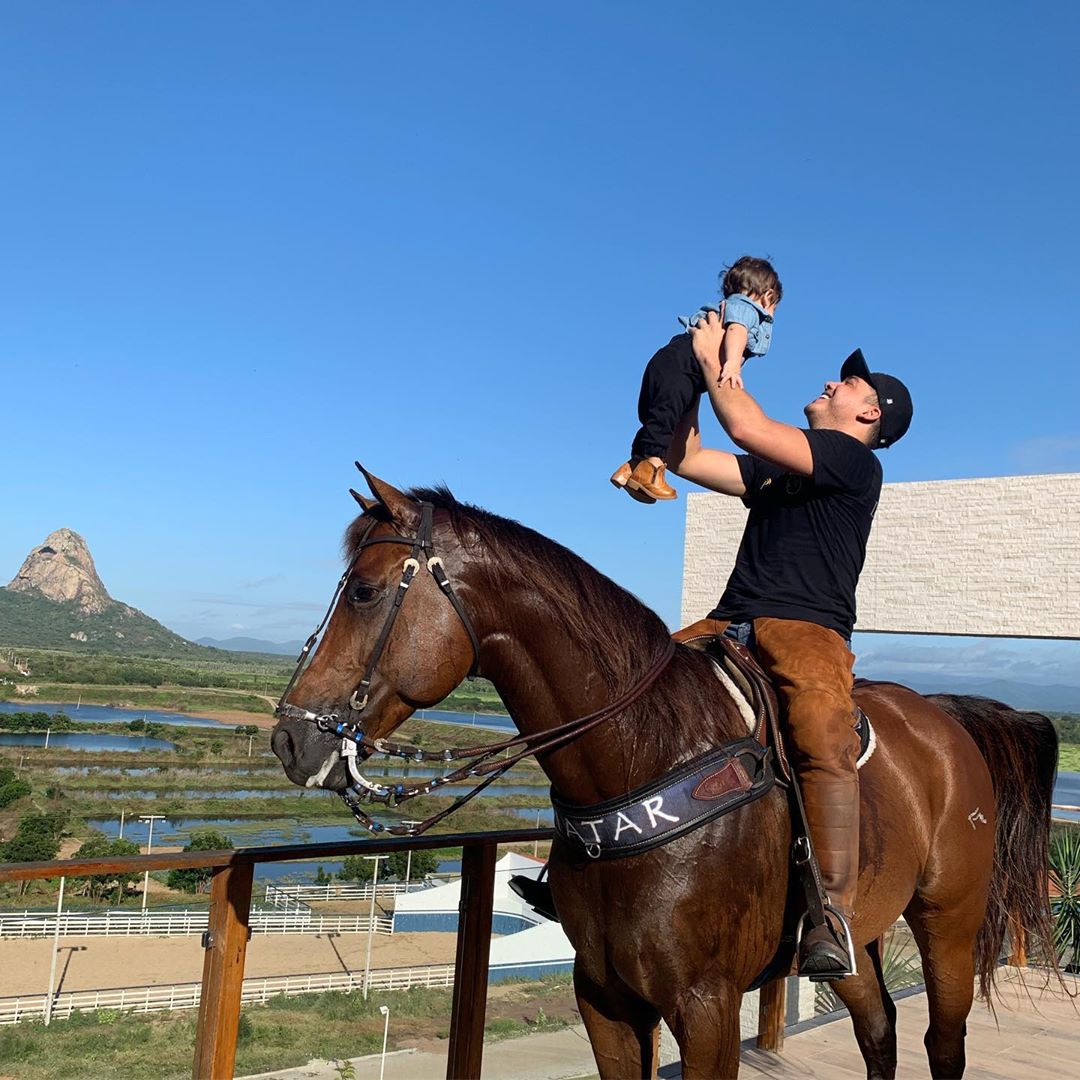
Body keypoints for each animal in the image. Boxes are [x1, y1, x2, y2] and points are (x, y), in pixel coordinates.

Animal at [267, 473, 1054, 1080]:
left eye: (365, 592)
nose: (289, 737)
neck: (642, 759)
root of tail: (945, 716)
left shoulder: (707, 1008)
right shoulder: (604, 1000)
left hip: (948, 920)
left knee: (942, 1042)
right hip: (859, 938)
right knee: (880, 1029)